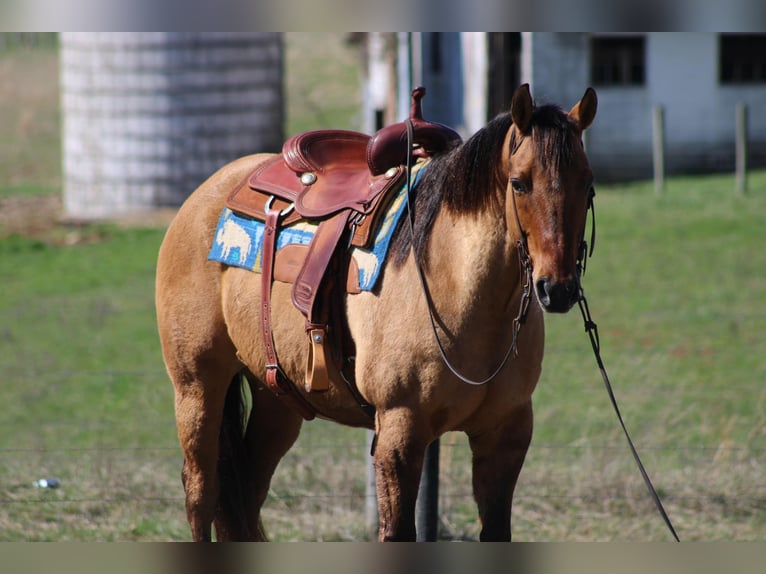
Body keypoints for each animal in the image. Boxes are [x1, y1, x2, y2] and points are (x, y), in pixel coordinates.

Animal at [156, 83, 600, 544]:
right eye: (519, 183)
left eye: (587, 183)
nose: (557, 288)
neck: (456, 287)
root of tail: (207, 193)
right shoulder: (400, 432)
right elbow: (398, 531)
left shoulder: (505, 436)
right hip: (197, 387)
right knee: (201, 491)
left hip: (276, 398)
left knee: (247, 493)